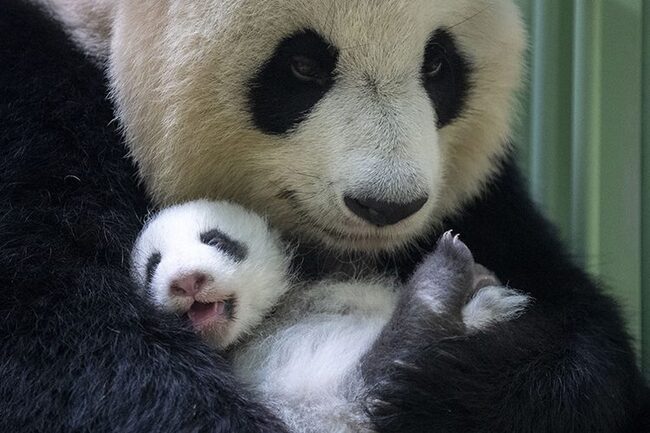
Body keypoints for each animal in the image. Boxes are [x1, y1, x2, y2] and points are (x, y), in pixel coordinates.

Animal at [0, 0, 644, 432]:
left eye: (438, 64)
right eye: (304, 66)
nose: (387, 206)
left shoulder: (486, 199)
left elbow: (581, 335)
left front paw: (456, 380)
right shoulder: (33, 124)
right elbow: (81, 360)